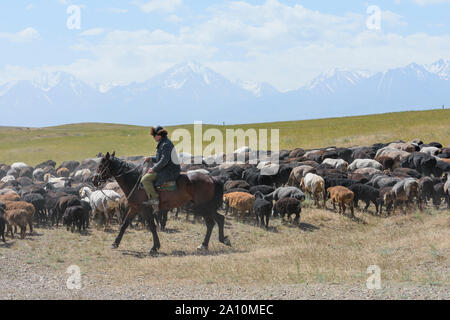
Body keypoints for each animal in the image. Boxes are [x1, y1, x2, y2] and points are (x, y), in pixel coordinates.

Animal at [92, 152, 230, 255]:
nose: (94, 180)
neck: (136, 180)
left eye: (101, 165)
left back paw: (220, 241)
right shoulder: (135, 208)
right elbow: (124, 225)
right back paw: (205, 245)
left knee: (217, 220)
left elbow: (152, 226)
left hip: (203, 207)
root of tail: (211, 178)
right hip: (204, 208)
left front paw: (154, 248)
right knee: (213, 222)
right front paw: (115, 243)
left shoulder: (146, 209)